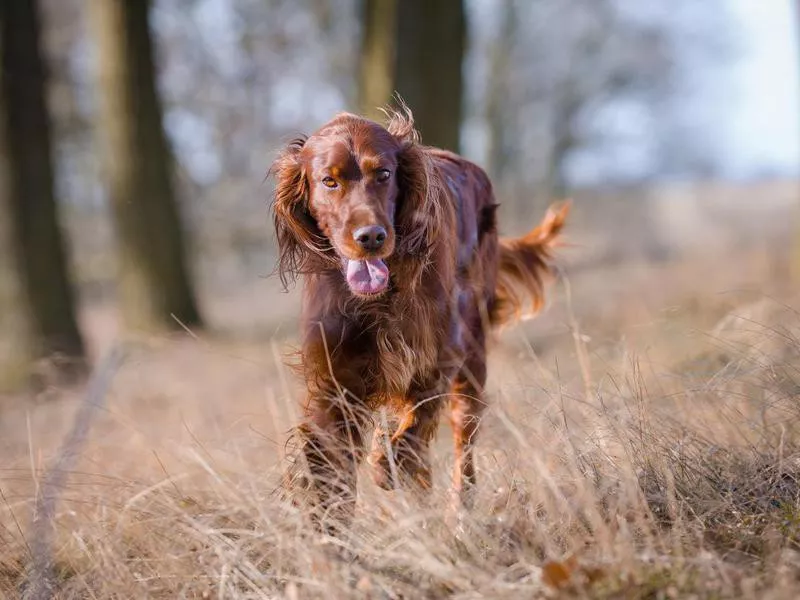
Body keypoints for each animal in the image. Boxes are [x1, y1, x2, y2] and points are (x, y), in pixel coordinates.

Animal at [272, 108, 564, 524]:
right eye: (329, 180)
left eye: (384, 174)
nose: (371, 237)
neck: (377, 298)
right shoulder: (333, 382)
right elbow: (328, 471)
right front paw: (330, 535)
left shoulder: (434, 358)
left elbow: (412, 431)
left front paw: (387, 464)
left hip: (472, 362)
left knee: (462, 443)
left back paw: (458, 512)